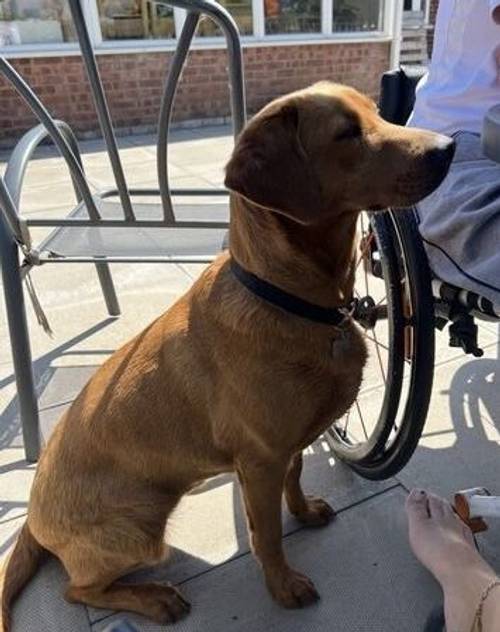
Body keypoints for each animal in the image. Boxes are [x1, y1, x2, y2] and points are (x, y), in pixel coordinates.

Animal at [1, 81, 454, 628]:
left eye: (377, 112)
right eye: (347, 133)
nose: (449, 146)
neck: (289, 297)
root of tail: (30, 519)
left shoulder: (286, 446)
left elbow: (295, 478)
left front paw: (303, 511)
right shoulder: (258, 461)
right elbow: (268, 535)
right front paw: (283, 586)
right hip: (139, 529)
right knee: (78, 590)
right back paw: (153, 598)